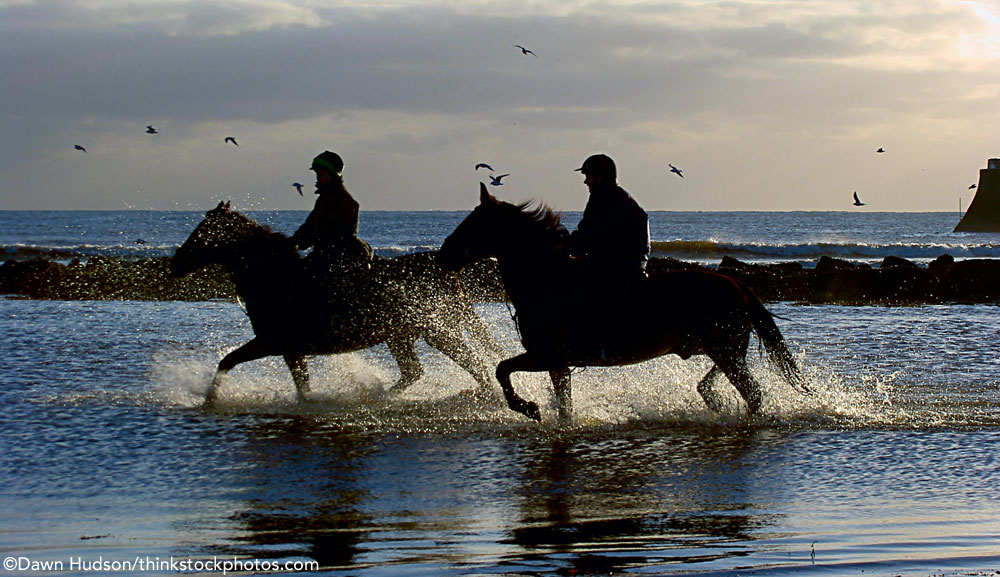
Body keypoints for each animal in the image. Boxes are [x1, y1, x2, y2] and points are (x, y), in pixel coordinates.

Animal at [173, 200, 500, 402]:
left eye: (202, 233)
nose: (176, 264)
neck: (275, 278)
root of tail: (445, 268)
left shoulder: (271, 342)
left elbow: (228, 361)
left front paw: (210, 398)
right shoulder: (290, 350)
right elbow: (302, 385)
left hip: (434, 329)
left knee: (472, 362)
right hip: (402, 334)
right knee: (415, 371)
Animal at [438, 186, 804, 424]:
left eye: (475, 223)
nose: (444, 255)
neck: (548, 281)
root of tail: (737, 284)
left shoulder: (547, 355)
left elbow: (501, 370)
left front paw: (528, 407)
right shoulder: (556, 363)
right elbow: (563, 405)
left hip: (725, 349)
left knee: (753, 393)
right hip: (720, 349)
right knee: (721, 383)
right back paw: (713, 399)